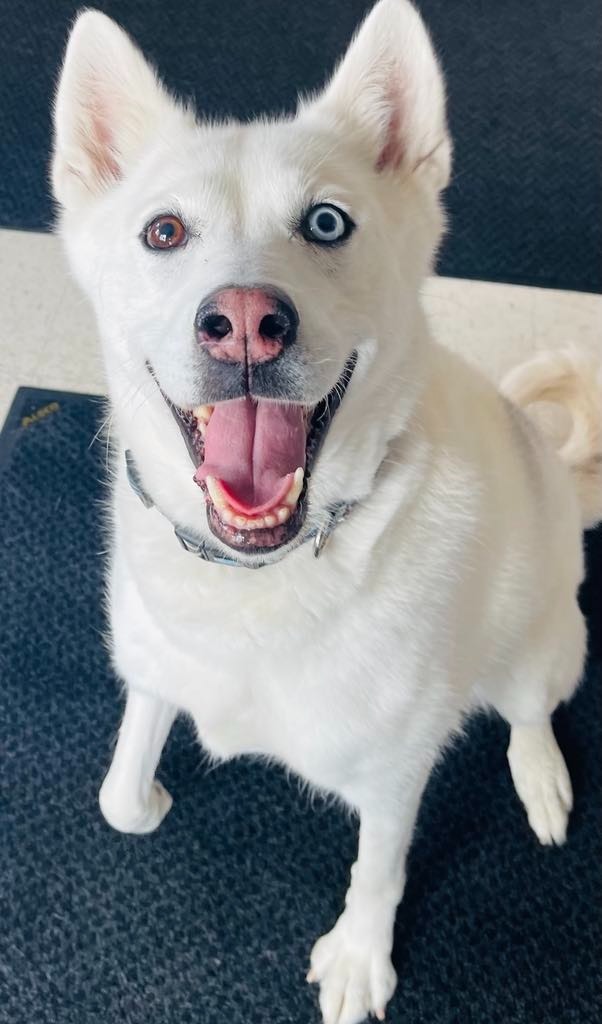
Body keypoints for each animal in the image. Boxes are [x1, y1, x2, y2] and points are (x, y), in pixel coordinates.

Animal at [51, 4, 602, 1019]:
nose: (243, 321)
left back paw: (541, 774)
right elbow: (120, 788)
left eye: (326, 222)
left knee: (529, 713)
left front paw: (358, 958)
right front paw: (148, 800)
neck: (257, 579)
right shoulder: (154, 669)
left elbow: (377, 872)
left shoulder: (392, 774)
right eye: (163, 231)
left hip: (539, 650)